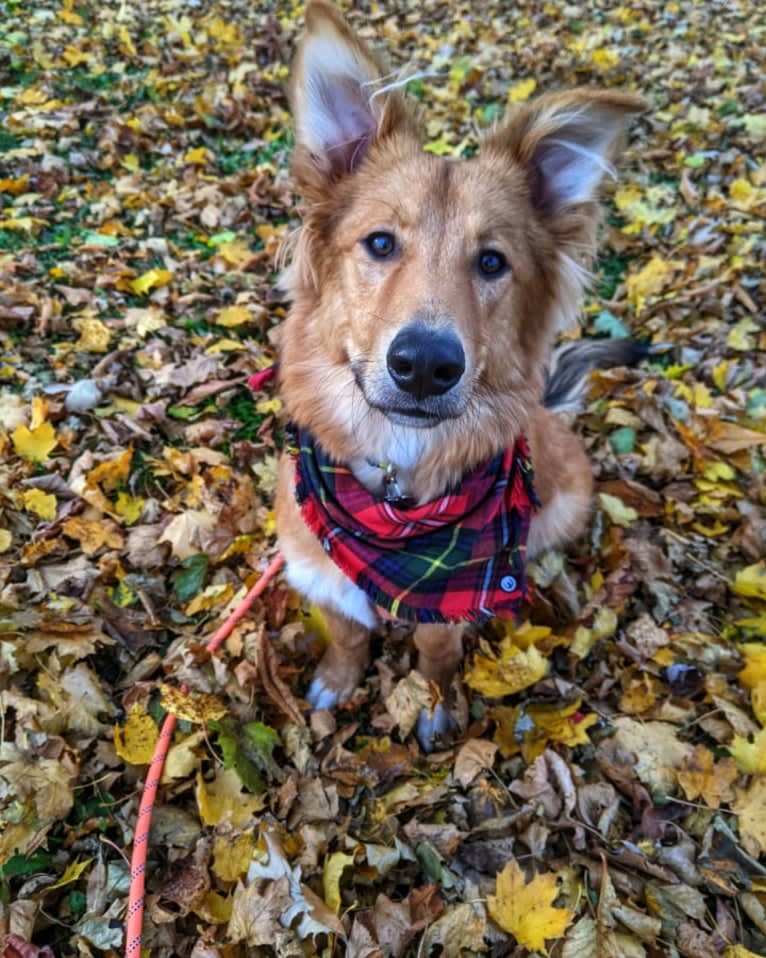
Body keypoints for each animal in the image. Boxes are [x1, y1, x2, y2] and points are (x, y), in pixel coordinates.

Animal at [272, 0, 644, 752]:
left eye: (492, 262)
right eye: (380, 243)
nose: (424, 365)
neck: (396, 497)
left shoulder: (449, 610)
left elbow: (436, 652)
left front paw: (436, 706)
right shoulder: (321, 571)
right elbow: (348, 635)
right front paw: (338, 679)